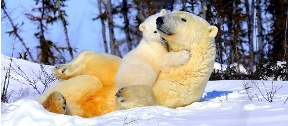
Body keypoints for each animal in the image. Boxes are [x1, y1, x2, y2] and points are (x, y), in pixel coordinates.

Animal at [38, 10, 218, 117]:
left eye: (183, 19)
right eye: (171, 12)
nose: (160, 20)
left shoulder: (181, 87)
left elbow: (158, 99)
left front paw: (125, 94)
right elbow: (106, 67)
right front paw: (62, 69)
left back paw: (57, 104)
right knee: (88, 81)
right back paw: (56, 100)